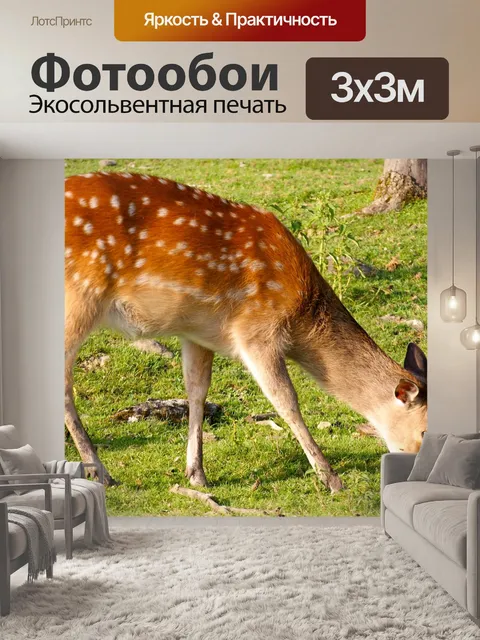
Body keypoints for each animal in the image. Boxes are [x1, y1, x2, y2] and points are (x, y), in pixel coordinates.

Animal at [64, 171, 427, 493]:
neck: (304, 314)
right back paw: (100, 472)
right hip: (80, 297)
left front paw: (196, 473)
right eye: (424, 431)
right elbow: (286, 401)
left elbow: (197, 391)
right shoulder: (256, 330)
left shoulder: (196, 332)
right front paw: (331, 478)